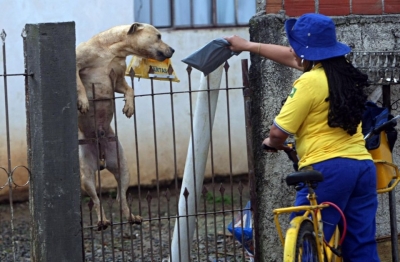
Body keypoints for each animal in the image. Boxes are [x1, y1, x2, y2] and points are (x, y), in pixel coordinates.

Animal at [76, 23, 174, 230]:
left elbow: (130, 89)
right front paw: (84, 102)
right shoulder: (77, 65)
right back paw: (102, 221)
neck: (111, 50)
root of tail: (101, 158)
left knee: (121, 198)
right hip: (86, 176)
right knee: (96, 200)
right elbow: (80, 85)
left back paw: (132, 217)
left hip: (123, 168)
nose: (172, 50)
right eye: (158, 36)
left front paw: (129, 107)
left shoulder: (119, 80)